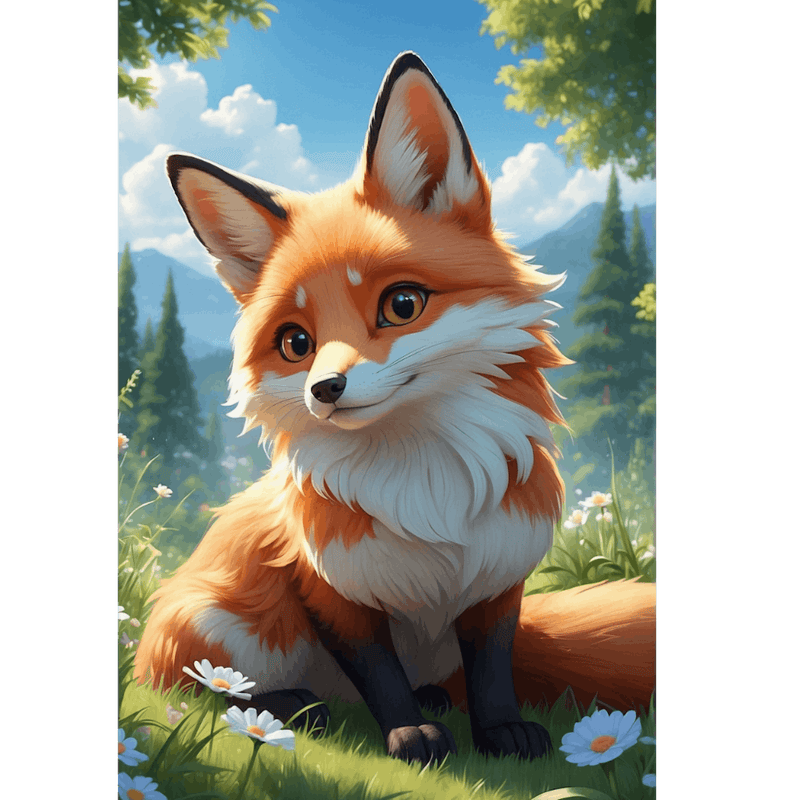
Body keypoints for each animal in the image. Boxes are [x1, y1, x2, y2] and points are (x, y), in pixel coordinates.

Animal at [133, 51, 655, 765]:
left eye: (401, 304)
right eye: (295, 343)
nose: (324, 389)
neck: (426, 484)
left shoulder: (498, 574)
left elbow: (491, 669)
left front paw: (500, 731)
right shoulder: (331, 588)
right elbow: (377, 673)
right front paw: (410, 735)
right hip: (216, 627)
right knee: (209, 689)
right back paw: (296, 707)